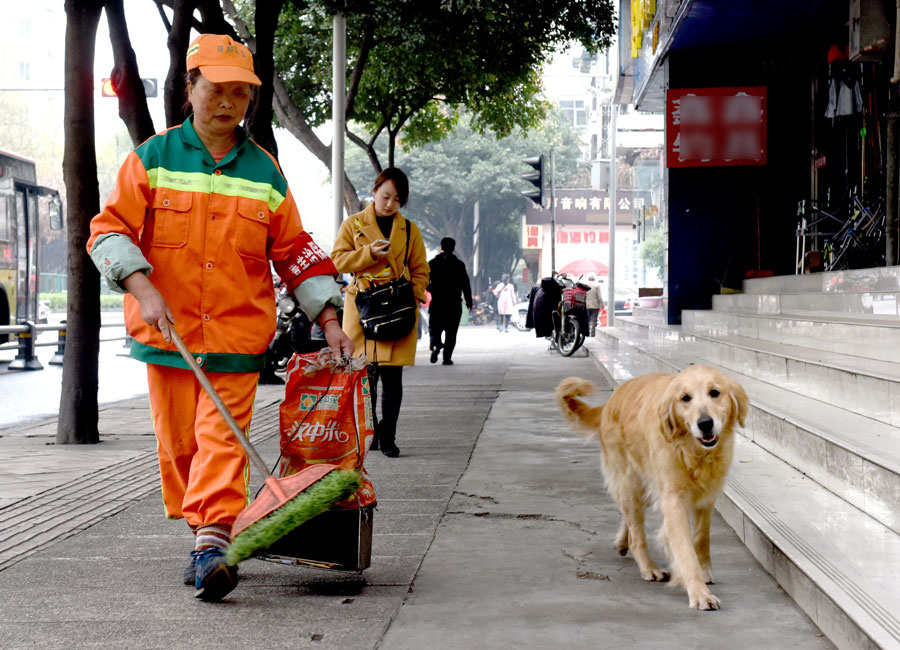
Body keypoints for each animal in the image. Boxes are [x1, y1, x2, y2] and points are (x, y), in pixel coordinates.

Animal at [560, 364, 748, 608]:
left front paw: (705, 570)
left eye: (715, 392)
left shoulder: (708, 495)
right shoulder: (673, 500)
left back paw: (621, 542)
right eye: (685, 398)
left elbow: (701, 537)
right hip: (631, 482)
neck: (691, 449)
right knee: (636, 534)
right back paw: (648, 567)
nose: (705, 423)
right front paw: (699, 593)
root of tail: (611, 400)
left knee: (628, 519)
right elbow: (685, 551)